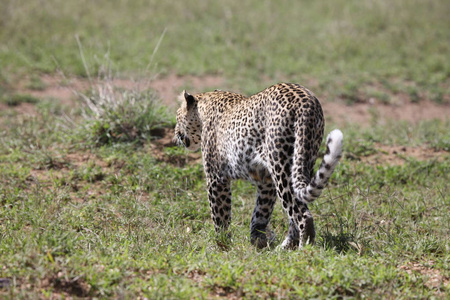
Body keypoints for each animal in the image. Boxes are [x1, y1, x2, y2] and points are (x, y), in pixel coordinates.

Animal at [174, 82, 342, 248]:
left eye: (177, 116)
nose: (175, 132)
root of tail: (306, 104)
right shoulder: (266, 181)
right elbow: (261, 212)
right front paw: (258, 241)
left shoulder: (216, 178)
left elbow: (220, 216)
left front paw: (222, 244)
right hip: (302, 162)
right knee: (295, 213)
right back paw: (285, 248)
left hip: (282, 166)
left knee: (303, 215)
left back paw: (303, 250)